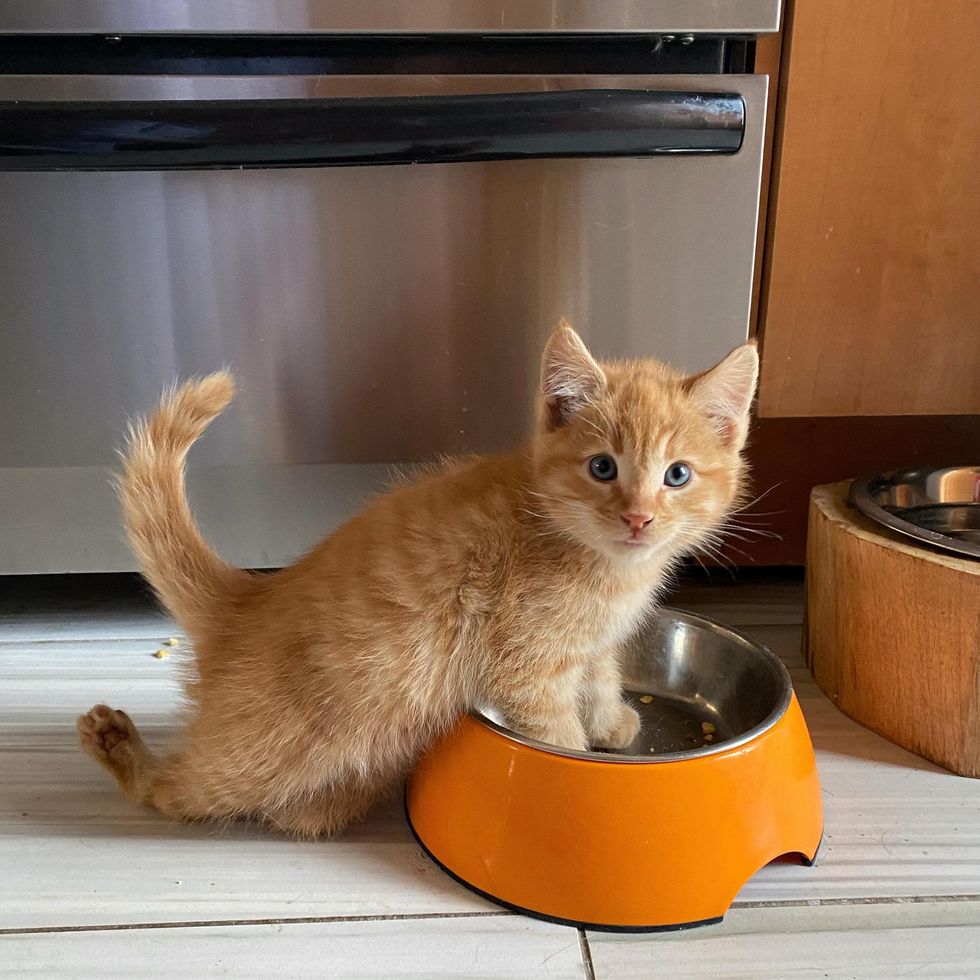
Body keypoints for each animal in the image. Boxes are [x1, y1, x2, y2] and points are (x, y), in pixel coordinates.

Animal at [80, 322, 760, 836]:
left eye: (677, 475)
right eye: (602, 468)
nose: (639, 517)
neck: (601, 566)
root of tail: (246, 597)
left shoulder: (589, 645)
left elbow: (599, 677)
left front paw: (613, 721)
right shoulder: (526, 665)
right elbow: (555, 727)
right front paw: (577, 760)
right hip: (253, 757)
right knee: (176, 792)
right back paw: (118, 748)